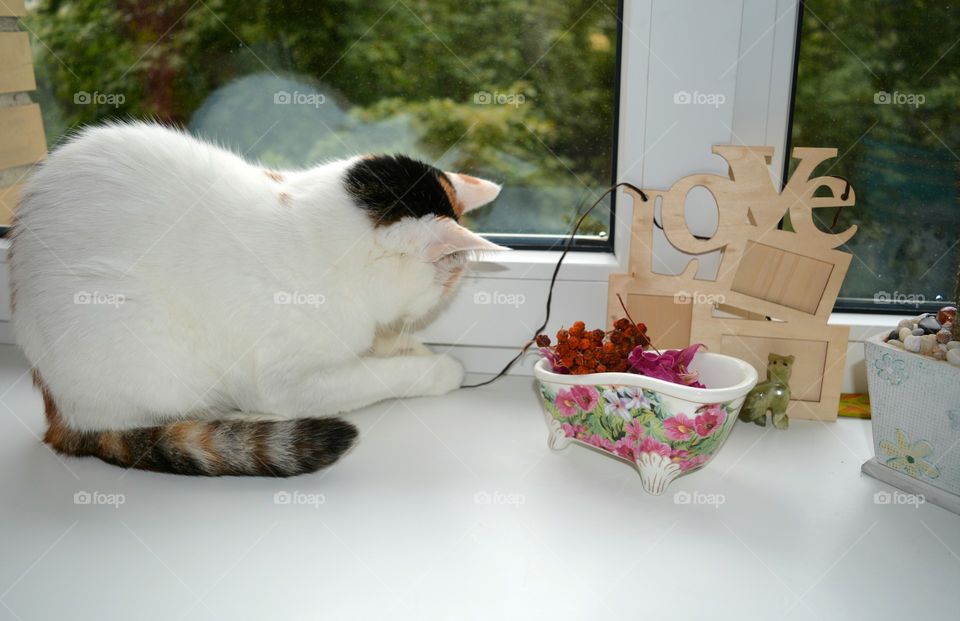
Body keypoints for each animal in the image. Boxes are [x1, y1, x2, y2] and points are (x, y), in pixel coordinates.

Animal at [9, 122, 510, 480]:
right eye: (451, 278)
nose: (446, 293)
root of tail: (56, 410)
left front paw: (409, 346)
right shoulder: (288, 380)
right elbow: (378, 375)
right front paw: (438, 367)